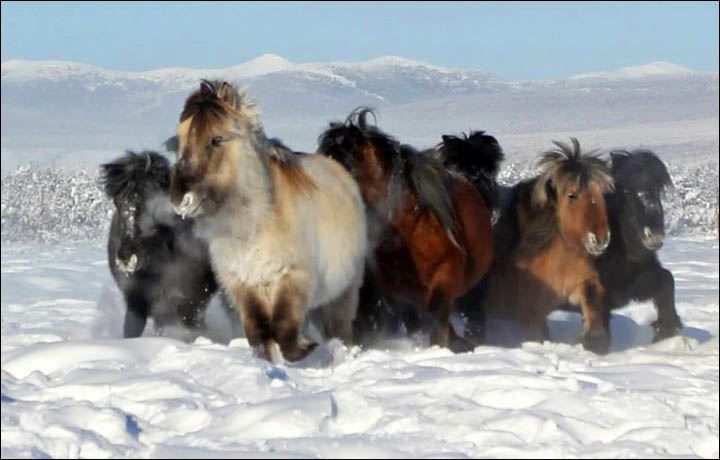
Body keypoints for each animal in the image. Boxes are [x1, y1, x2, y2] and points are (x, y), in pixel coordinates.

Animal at [169, 82, 366, 362]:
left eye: (217, 139)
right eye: (181, 139)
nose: (180, 198)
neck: (253, 225)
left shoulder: (292, 277)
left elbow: (283, 329)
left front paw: (304, 349)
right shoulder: (245, 284)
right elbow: (260, 334)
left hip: (342, 293)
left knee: (339, 329)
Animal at [480, 138, 616, 354]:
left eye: (600, 192)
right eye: (572, 194)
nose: (601, 238)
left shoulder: (579, 279)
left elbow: (593, 296)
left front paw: (595, 340)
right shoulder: (530, 313)